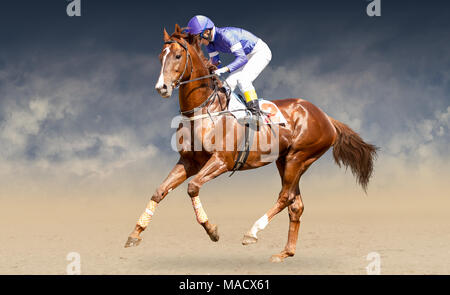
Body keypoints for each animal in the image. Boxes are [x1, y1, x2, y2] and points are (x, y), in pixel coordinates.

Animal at [122, 23, 376, 264]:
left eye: (177, 55)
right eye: (160, 56)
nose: (161, 87)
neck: (205, 110)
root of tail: (326, 117)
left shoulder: (221, 161)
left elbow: (192, 187)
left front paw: (212, 230)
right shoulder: (188, 161)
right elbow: (159, 191)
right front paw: (135, 233)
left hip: (299, 157)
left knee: (285, 197)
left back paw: (252, 232)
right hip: (285, 161)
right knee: (296, 204)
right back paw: (285, 253)